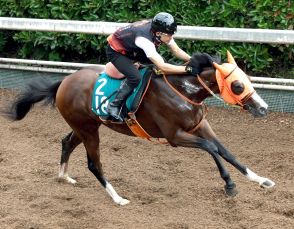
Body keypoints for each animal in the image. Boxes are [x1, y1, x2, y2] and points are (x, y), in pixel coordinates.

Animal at [4, 51, 276, 206]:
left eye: (247, 80)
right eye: (238, 85)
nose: (263, 108)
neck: (184, 91)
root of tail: (64, 81)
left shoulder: (201, 126)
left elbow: (225, 151)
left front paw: (261, 180)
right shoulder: (175, 136)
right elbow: (211, 148)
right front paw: (229, 185)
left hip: (86, 126)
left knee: (66, 142)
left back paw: (64, 176)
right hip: (89, 130)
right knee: (94, 164)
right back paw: (117, 198)